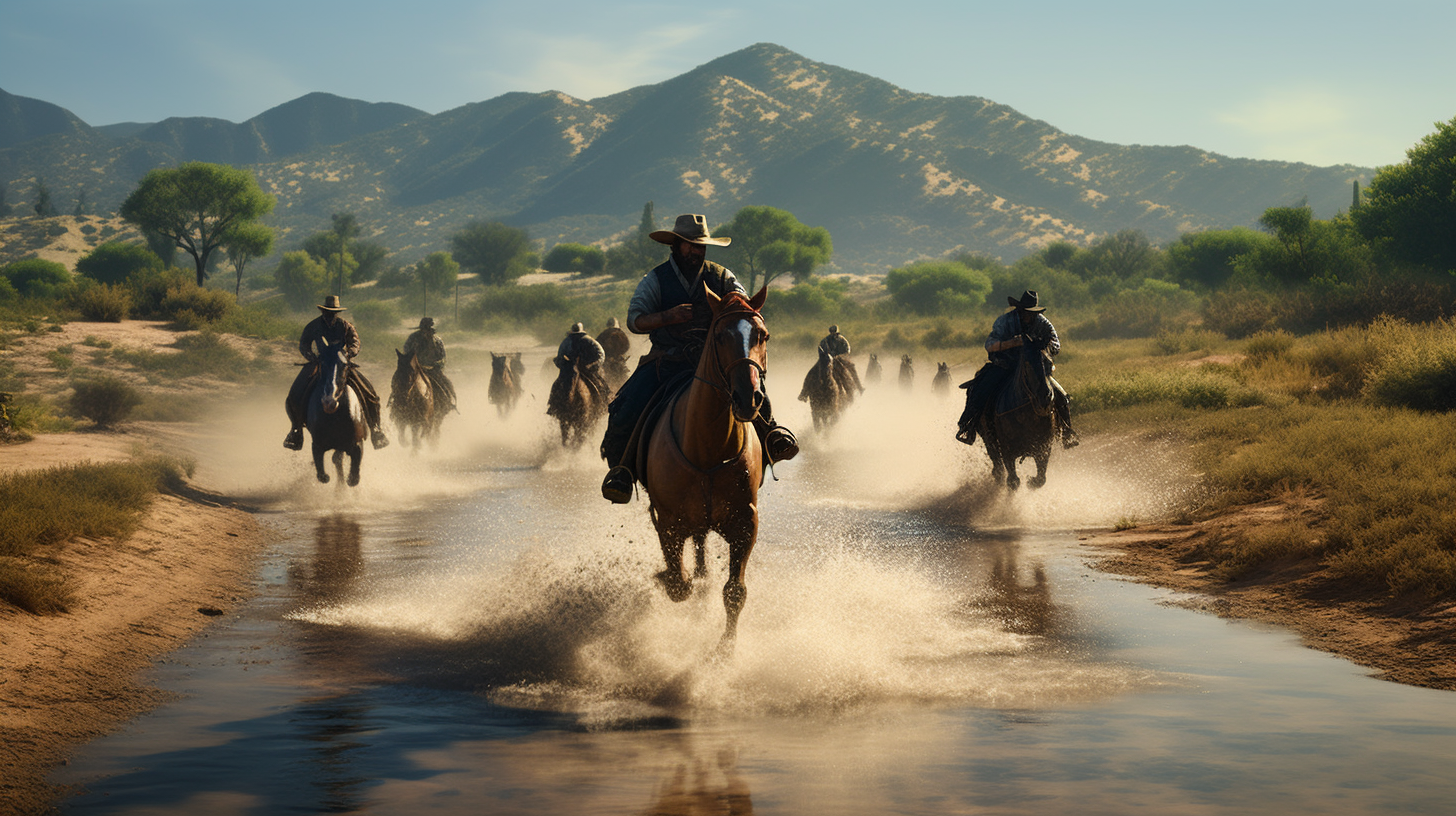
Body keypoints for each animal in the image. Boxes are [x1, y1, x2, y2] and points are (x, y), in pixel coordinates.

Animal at [302, 339, 366, 483]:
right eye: (322, 363)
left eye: (345, 365)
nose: (329, 402)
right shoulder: (317, 446)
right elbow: (323, 475)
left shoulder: (356, 445)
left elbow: (353, 478)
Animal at [643, 284, 768, 652]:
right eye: (720, 336)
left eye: (762, 335)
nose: (748, 397)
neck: (709, 450)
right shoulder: (668, 523)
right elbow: (677, 584)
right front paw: (666, 577)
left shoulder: (745, 523)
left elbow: (735, 591)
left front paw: (724, 651)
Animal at [966, 340, 1059, 486]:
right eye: (1027, 363)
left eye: (1049, 363)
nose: (1045, 397)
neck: (1025, 416)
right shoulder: (1007, 453)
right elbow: (1013, 481)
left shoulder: (1043, 449)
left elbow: (1040, 479)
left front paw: (1031, 481)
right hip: (989, 441)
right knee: (998, 468)